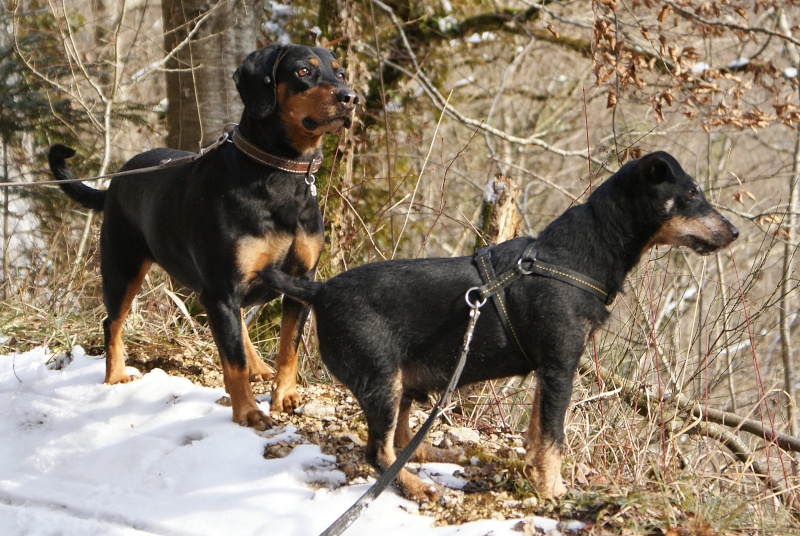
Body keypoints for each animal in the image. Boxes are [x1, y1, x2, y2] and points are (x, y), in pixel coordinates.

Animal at [48, 45, 358, 432]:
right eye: (303, 71)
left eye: (340, 73)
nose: (350, 98)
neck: (279, 173)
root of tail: (116, 181)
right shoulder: (222, 287)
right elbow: (233, 363)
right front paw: (248, 413)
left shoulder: (300, 281)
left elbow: (290, 348)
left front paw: (284, 395)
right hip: (123, 268)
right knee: (112, 322)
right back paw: (115, 374)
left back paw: (259, 366)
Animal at [260, 152, 740, 502]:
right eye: (692, 193)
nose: (734, 232)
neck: (578, 255)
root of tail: (319, 292)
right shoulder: (561, 368)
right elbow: (554, 438)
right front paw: (553, 492)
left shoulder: (549, 372)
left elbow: (537, 435)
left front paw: (535, 477)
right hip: (381, 379)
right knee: (379, 452)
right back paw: (421, 487)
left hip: (401, 383)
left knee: (400, 440)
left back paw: (437, 453)